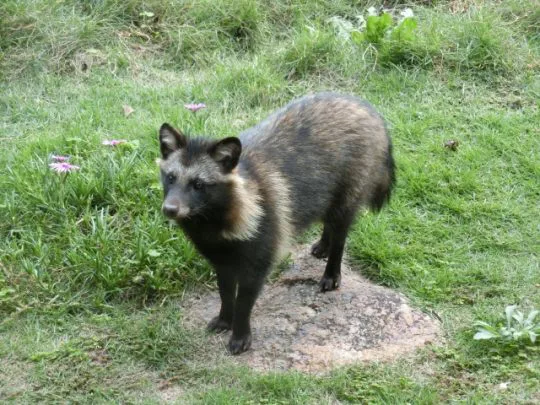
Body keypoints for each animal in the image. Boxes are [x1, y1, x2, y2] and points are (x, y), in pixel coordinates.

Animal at [158, 92, 394, 354]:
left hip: (353, 182)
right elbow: (225, 289)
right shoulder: (220, 255)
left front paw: (240, 331)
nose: (169, 209)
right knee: (328, 215)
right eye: (170, 178)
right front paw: (225, 317)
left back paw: (332, 266)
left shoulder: (262, 244)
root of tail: (367, 108)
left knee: (341, 227)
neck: (212, 218)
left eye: (198, 184)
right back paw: (325, 242)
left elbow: (245, 298)